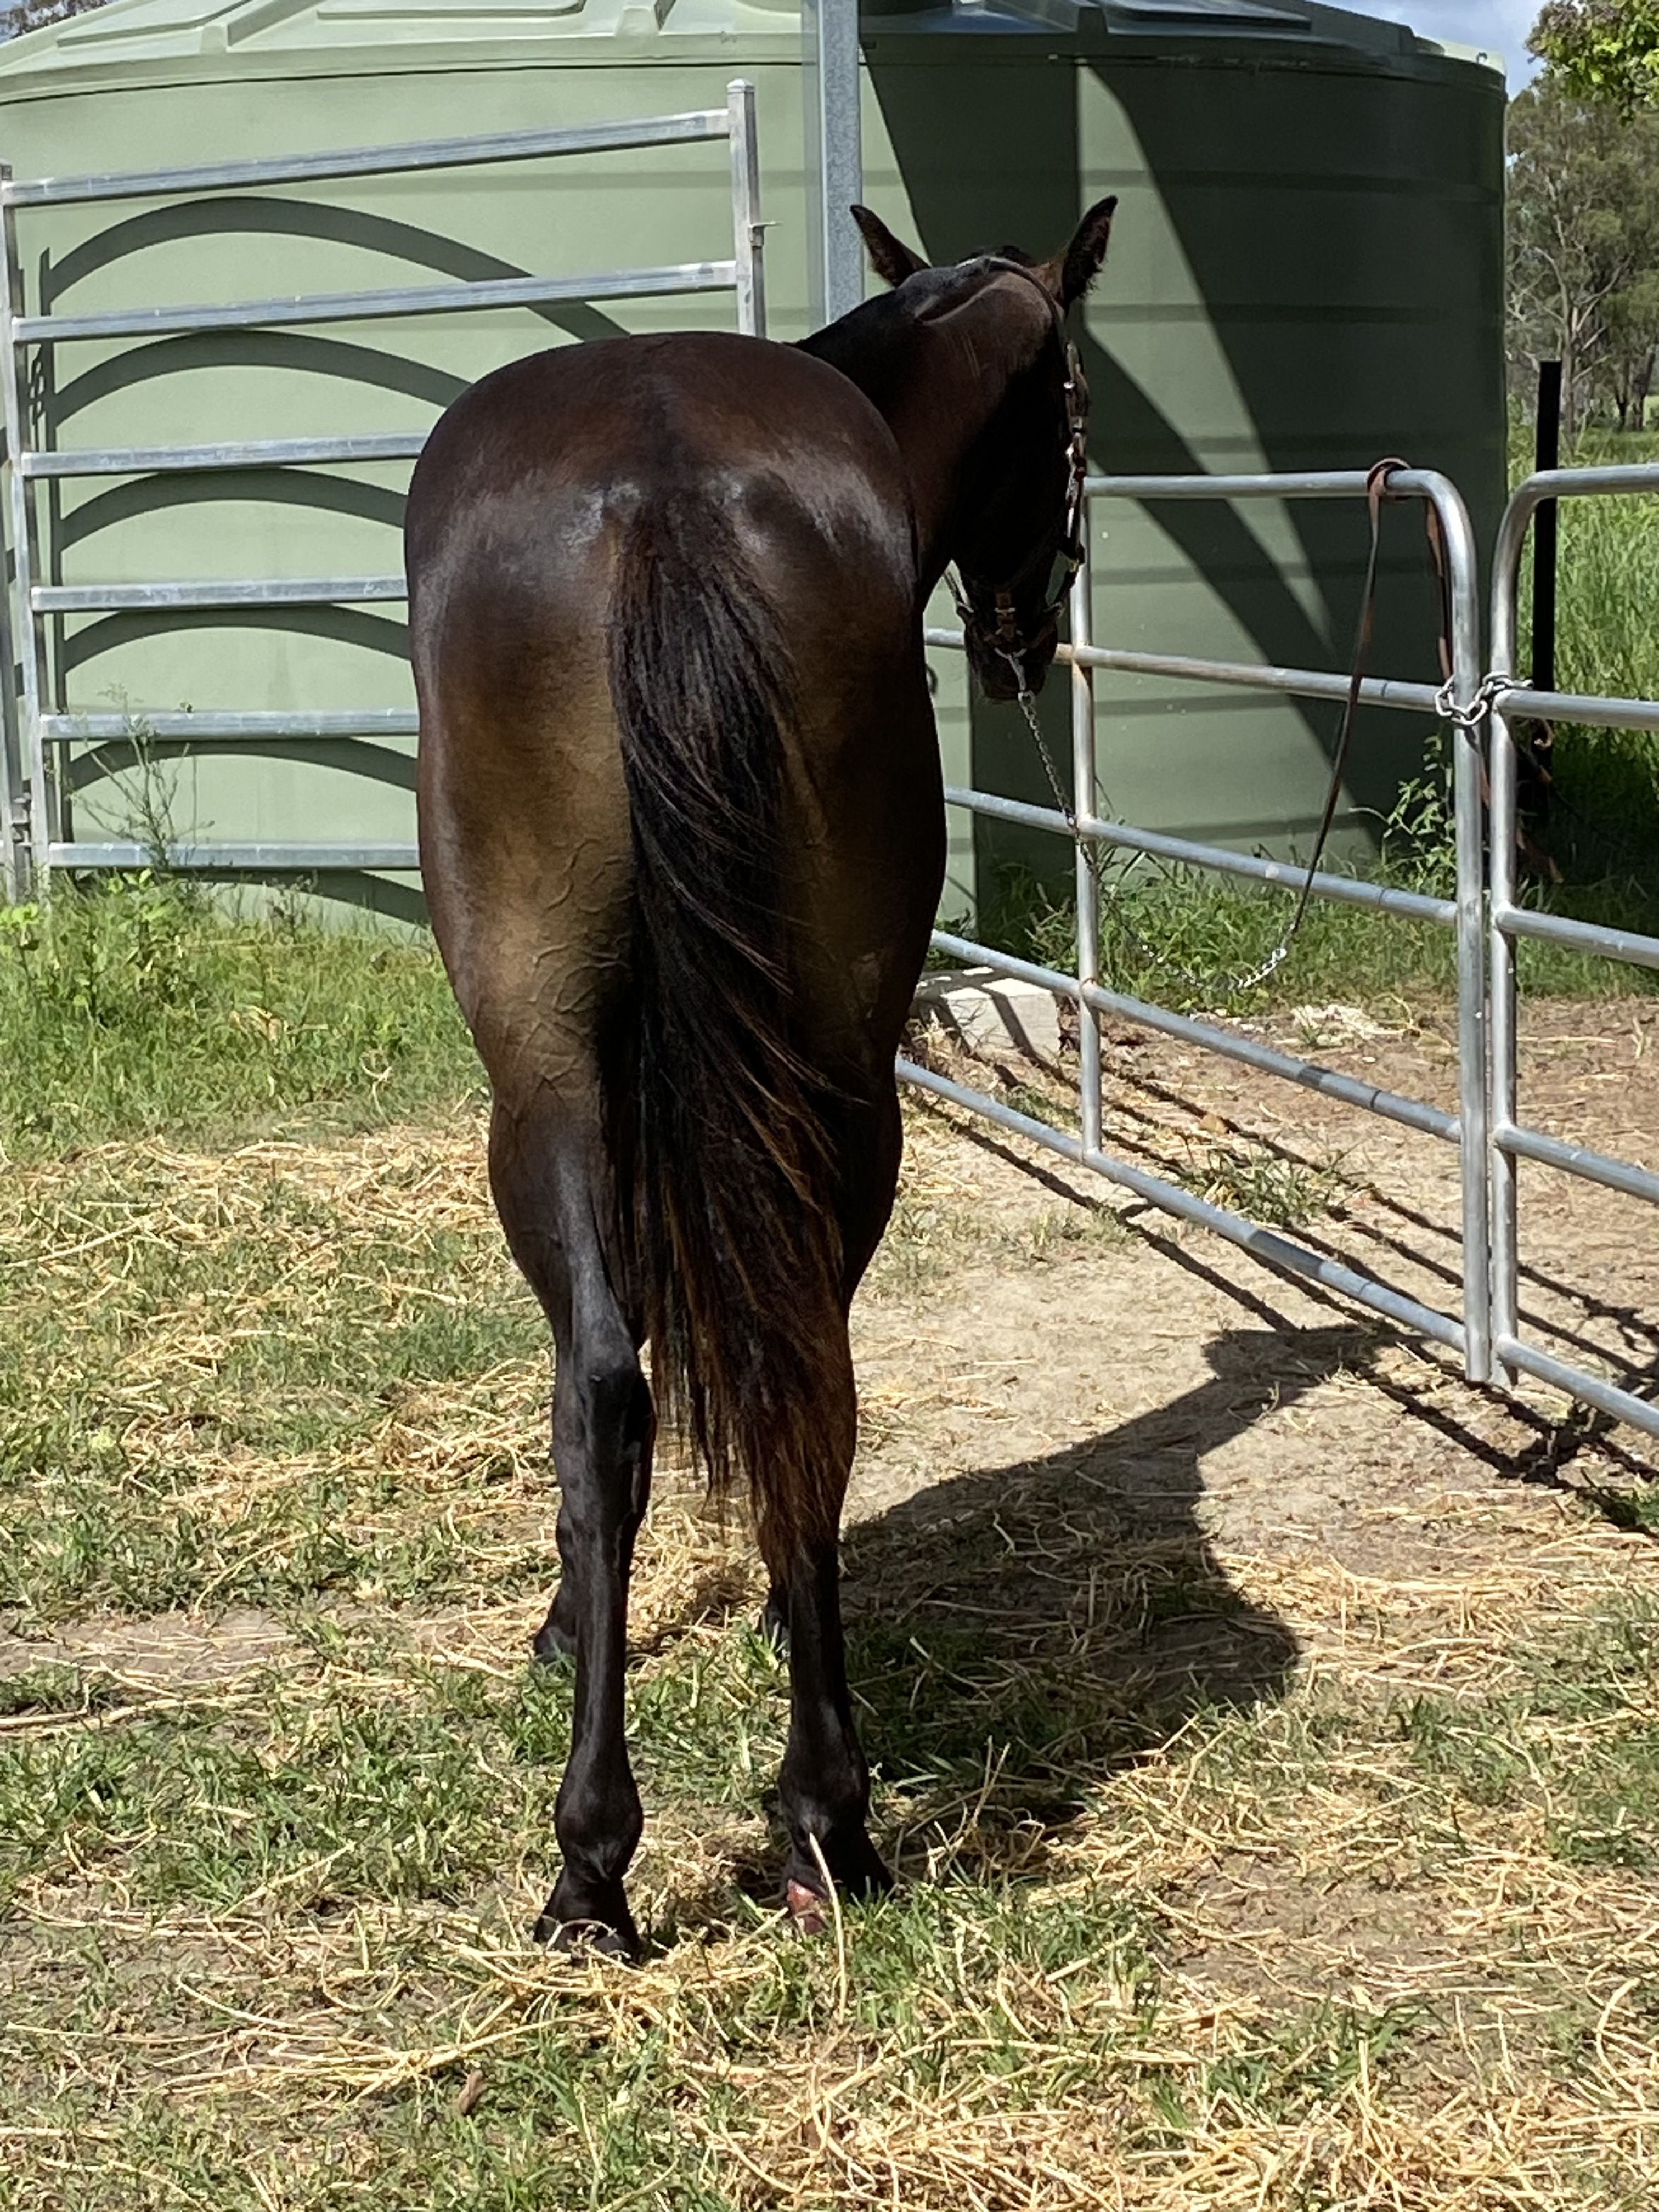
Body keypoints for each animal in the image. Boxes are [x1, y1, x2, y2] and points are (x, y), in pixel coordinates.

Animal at [405, 196, 1116, 1956]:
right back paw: (766, 1828)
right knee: (783, 1377)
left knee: (620, 1386)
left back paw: (654, 1848)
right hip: (810, 1091)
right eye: (1072, 417)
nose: (1025, 638)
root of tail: (661, 495)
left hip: (558, 1090)